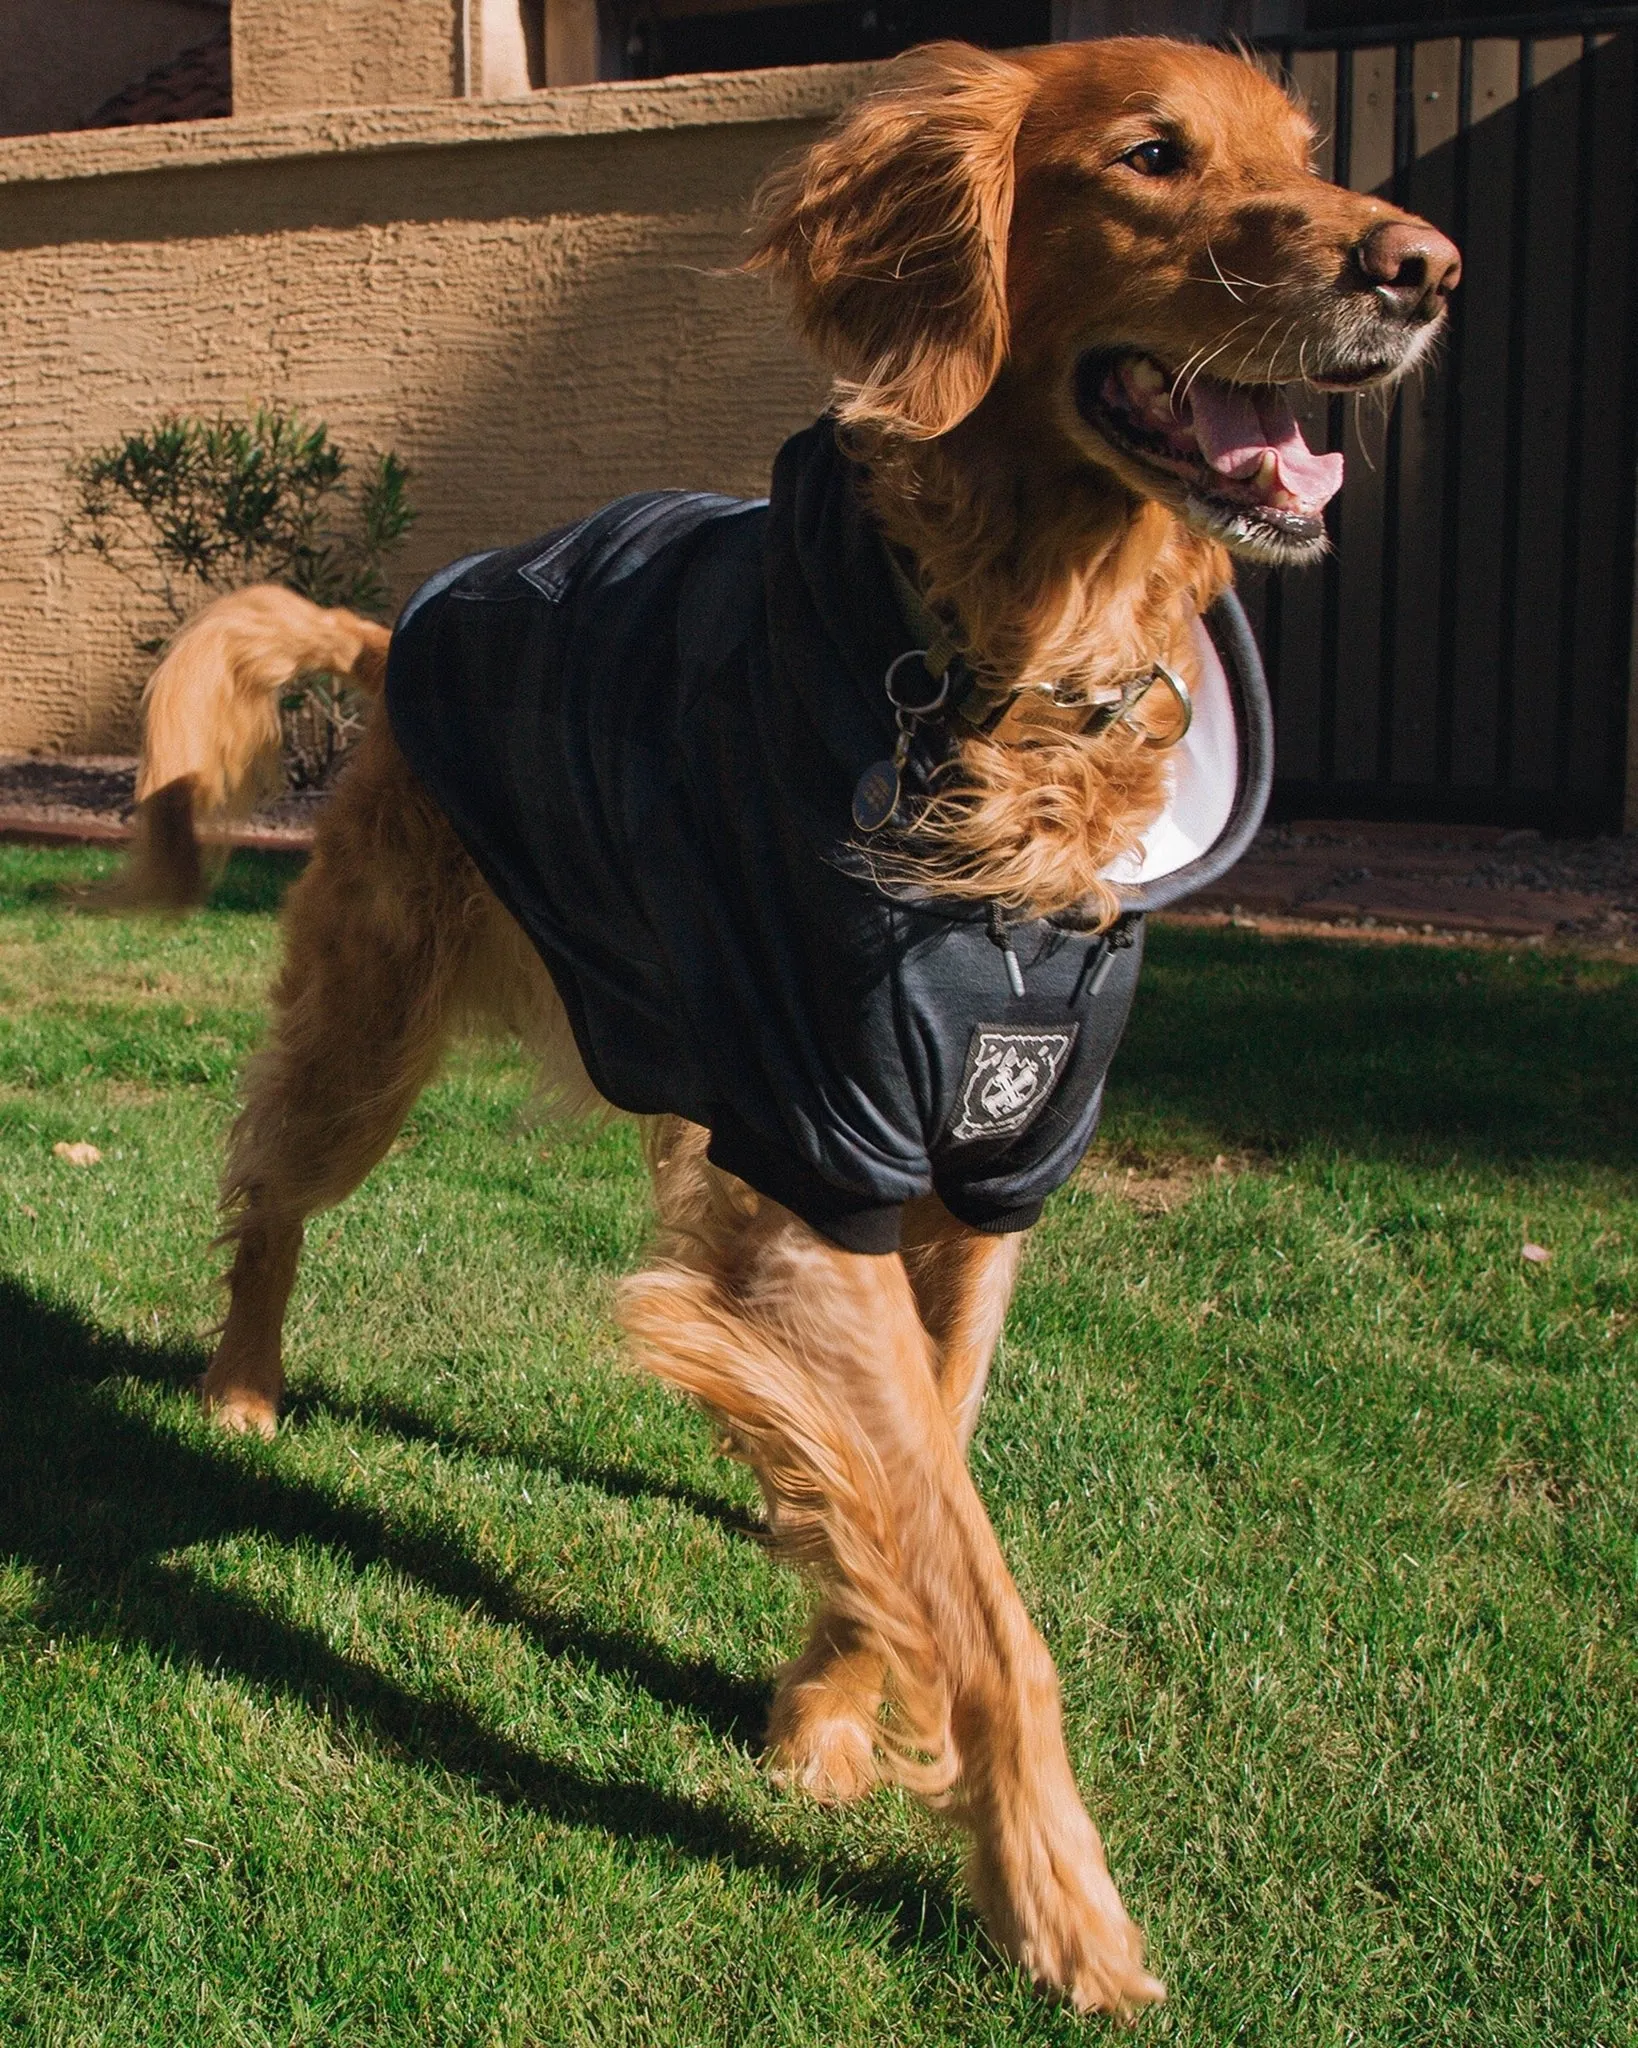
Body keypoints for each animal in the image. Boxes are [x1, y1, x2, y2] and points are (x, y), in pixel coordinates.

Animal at [115, 36, 1449, 2015]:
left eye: (1305, 150)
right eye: (1152, 157)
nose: (1422, 269)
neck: (1015, 675)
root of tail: (394, 627)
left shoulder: (979, 1167)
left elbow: (923, 1468)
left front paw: (828, 1707)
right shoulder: (823, 1154)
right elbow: (977, 1586)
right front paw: (1051, 1893)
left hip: (695, 1099)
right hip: (377, 1035)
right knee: (267, 1187)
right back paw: (242, 1385)